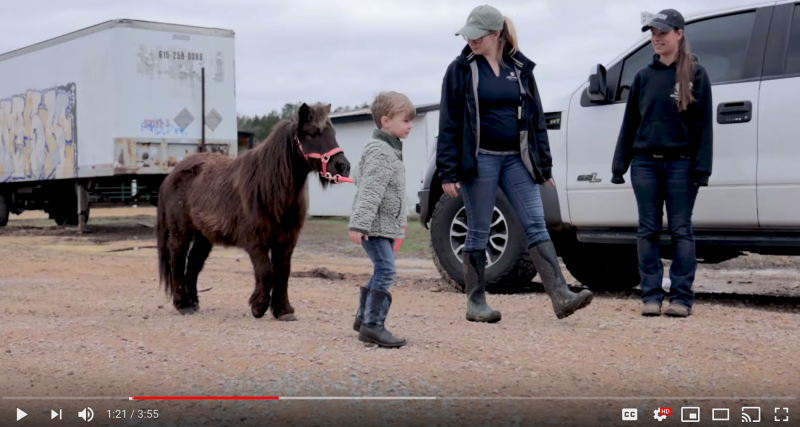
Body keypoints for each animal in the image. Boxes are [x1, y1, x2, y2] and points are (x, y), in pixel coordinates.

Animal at [155, 102, 351, 320]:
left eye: (333, 133)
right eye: (313, 133)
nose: (342, 167)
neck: (268, 186)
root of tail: (171, 174)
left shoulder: (286, 241)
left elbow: (283, 272)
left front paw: (283, 310)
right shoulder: (255, 241)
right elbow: (266, 271)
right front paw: (259, 307)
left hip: (204, 237)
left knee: (194, 264)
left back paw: (194, 302)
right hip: (180, 232)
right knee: (177, 261)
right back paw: (183, 305)